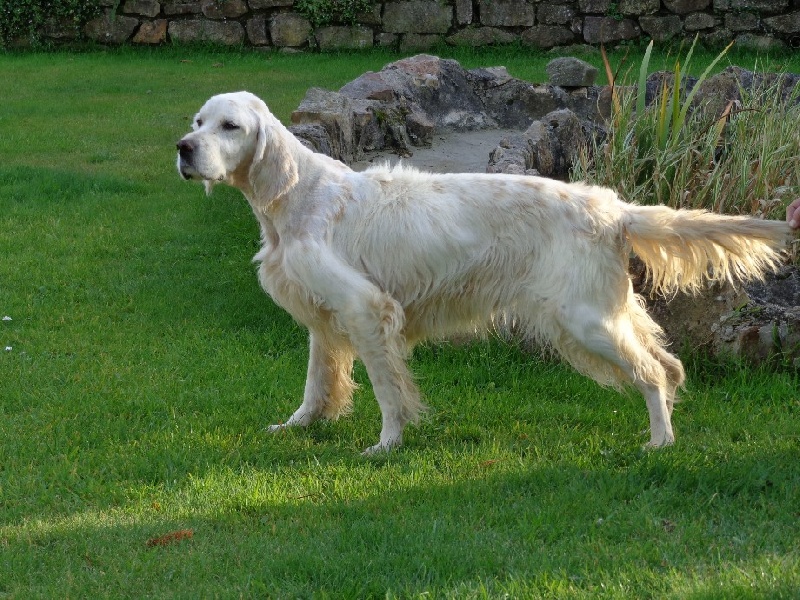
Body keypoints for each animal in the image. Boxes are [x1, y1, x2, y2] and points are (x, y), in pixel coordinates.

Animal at [175, 91, 788, 452]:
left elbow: (388, 390)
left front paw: (387, 444)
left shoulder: (367, 309)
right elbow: (317, 383)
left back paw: (659, 444)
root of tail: (613, 209)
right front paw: (300, 426)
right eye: (198, 122)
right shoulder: (324, 318)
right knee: (669, 363)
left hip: (585, 321)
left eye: (229, 126)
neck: (295, 196)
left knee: (654, 375)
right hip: (606, 312)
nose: (183, 148)